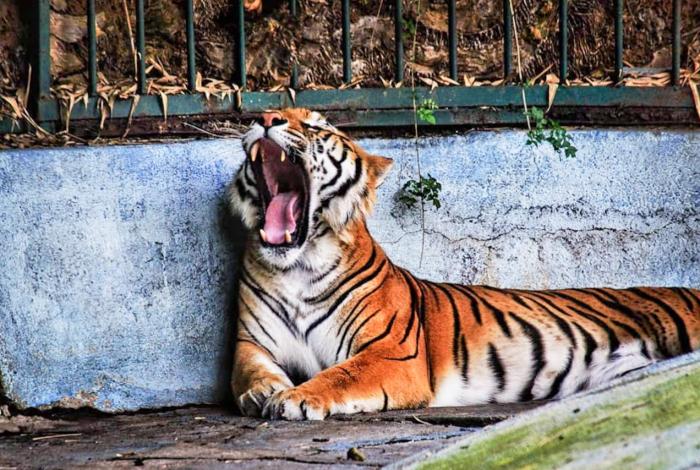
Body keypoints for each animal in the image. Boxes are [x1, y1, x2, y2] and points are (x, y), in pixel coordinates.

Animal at [227, 108, 700, 420]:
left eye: (315, 125)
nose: (265, 117)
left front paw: (295, 397)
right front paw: (267, 390)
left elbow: (341, 375)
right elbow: (247, 371)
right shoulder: (251, 342)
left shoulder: (392, 353)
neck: (298, 268)